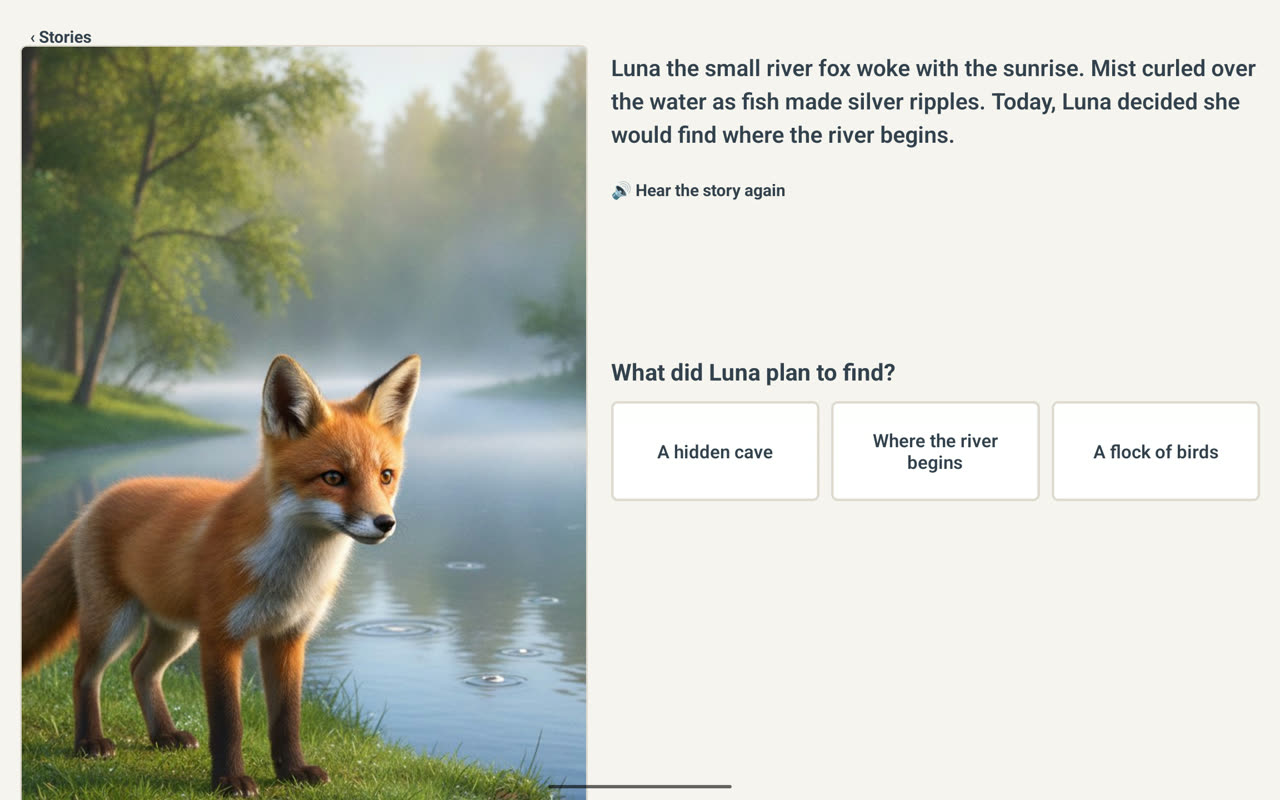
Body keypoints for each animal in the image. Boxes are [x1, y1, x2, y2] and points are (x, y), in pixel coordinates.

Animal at [21, 354, 421, 797]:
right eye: (333, 477)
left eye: (386, 476)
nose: (385, 523)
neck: (288, 575)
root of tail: (95, 502)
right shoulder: (221, 637)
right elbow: (229, 721)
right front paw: (230, 780)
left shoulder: (288, 636)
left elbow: (287, 718)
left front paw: (292, 771)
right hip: (114, 623)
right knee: (85, 674)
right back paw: (89, 742)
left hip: (176, 631)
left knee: (140, 669)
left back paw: (164, 735)